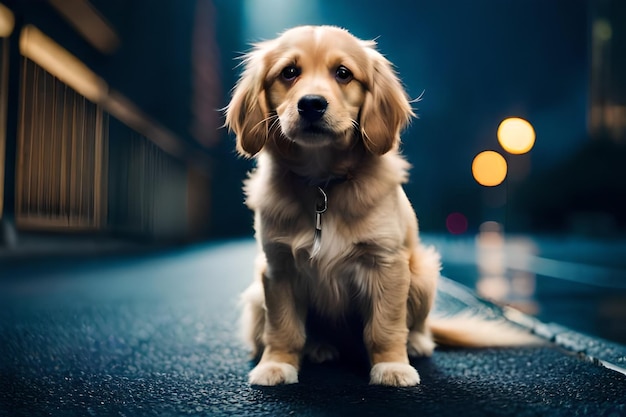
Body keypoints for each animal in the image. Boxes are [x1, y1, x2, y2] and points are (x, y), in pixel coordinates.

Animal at [224, 24, 536, 386]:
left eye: (343, 73)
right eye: (289, 72)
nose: (312, 104)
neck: (323, 184)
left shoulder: (387, 263)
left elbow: (385, 327)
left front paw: (392, 366)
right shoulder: (278, 268)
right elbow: (283, 327)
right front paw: (276, 364)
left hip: (423, 273)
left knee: (417, 328)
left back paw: (415, 344)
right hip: (256, 296)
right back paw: (318, 347)